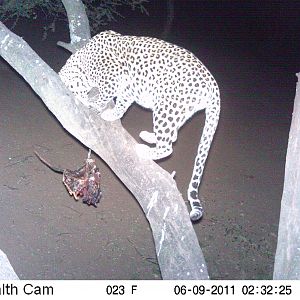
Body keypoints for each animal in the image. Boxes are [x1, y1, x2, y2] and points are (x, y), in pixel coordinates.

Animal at [59, 30, 221, 221]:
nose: (79, 95)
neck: (82, 61)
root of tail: (213, 85)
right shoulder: (127, 88)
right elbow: (121, 104)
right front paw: (111, 114)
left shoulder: (112, 78)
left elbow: (102, 97)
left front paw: (91, 104)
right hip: (177, 111)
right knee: (172, 136)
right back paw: (148, 136)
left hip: (166, 106)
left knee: (167, 146)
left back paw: (144, 149)